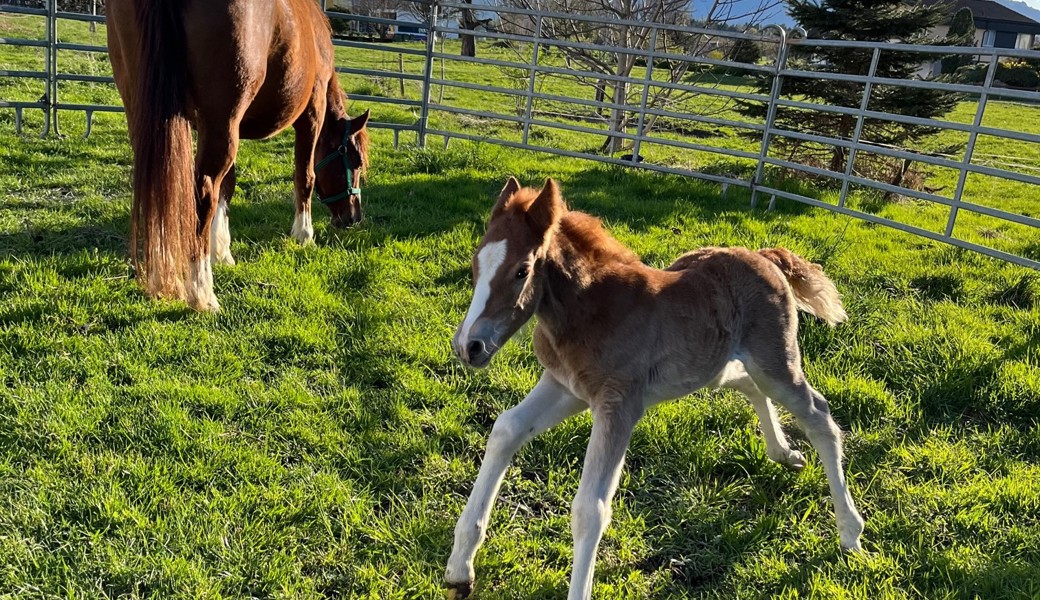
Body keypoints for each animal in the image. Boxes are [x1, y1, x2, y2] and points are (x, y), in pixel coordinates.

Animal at [105, 3, 372, 314]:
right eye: (355, 162)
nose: (353, 217)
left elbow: (228, 187)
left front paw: (221, 251)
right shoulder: (311, 115)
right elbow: (304, 177)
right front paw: (304, 236)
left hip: (145, 113)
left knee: (158, 188)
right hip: (221, 120)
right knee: (203, 193)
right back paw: (202, 293)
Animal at [443, 175, 865, 594]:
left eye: (522, 270)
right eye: (476, 261)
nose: (469, 346)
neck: (592, 310)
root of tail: (764, 256)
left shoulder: (618, 405)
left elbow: (590, 508)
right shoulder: (565, 387)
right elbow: (506, 429)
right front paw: (459, 571)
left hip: (775, 361)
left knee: (819, 416)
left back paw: (850, 531)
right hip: (720, 365)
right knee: (751, 387)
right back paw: (785, 453)